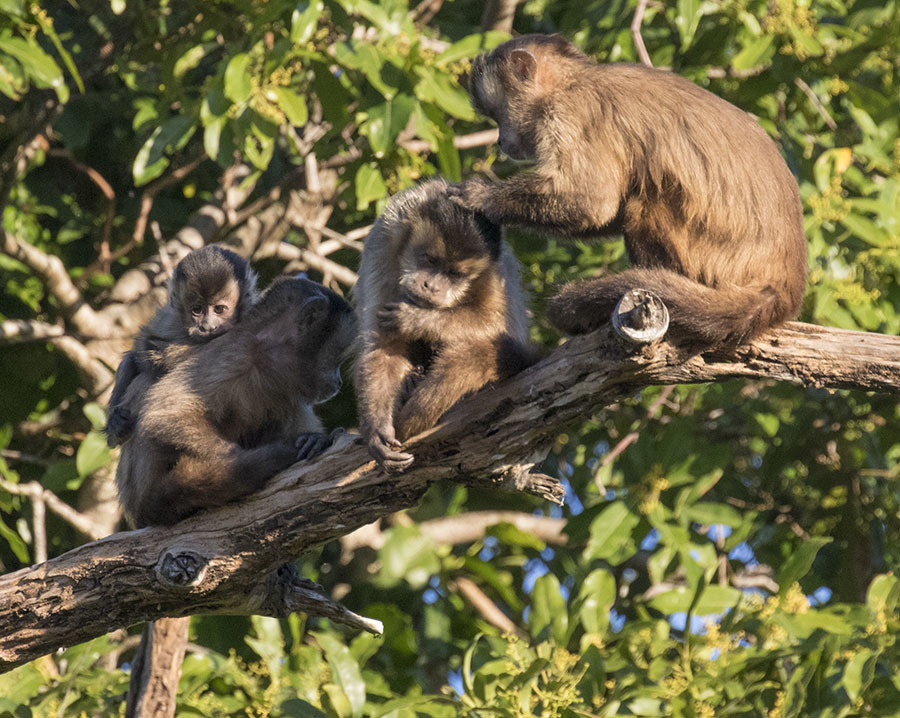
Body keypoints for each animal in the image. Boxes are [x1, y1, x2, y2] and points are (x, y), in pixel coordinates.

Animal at [107, 248, 260, 450]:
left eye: (219, 309)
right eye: (197, 310)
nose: (207, 326)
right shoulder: (168, 320)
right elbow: (136, 357)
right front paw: (114, 423)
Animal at [117, 278, 358, 528]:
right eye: (335, 358)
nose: (339, 381)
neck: (268, 360)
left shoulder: (290, 389)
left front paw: (313, 439)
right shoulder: (234, 357)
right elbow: (163, 414)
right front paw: (240, 459)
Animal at [354, 179, 536, 472]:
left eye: (454, 274)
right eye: (429, 260)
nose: (431, 286)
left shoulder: (494, 272)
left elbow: (500, 326)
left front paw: (416, 319)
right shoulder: (384, 242)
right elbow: (383, 344)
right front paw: (376, 427)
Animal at [458, 35, 808, 350]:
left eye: (498, 115)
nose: (500, 140)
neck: (573, 81)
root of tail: (785, 288)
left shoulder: (569, 112)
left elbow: (592, 201)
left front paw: (482, 197)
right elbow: (608, 211)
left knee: (644, 205)